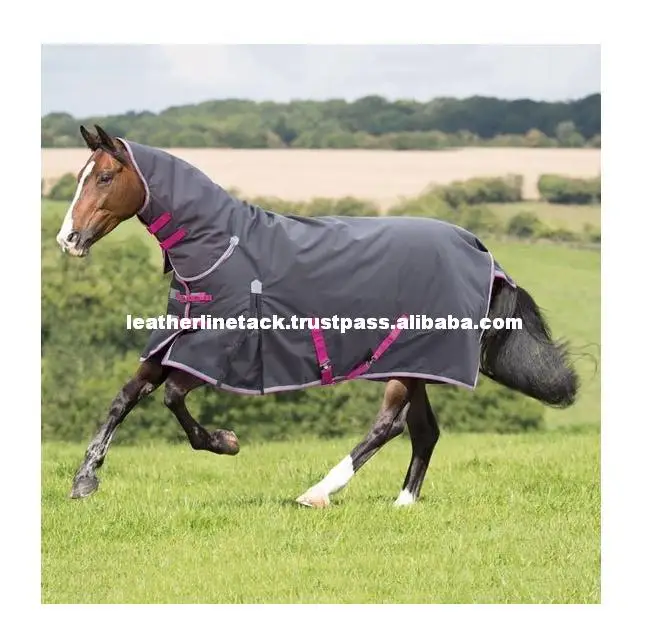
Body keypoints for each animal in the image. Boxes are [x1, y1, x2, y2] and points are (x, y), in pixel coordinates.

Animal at [55, 124, 579, 508]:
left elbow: (172, 400)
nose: (68, 239)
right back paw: (401, 504)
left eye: (103, 177)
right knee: (422, 431)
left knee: (391, 426)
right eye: (81, 175)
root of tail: (483, 253)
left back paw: (317, 494)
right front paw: (84, 481)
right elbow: (124, 398)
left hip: (410, 357)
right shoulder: (174, 343)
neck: (222, 250)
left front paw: (226, 441)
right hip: (412, 362)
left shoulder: (216, 351)